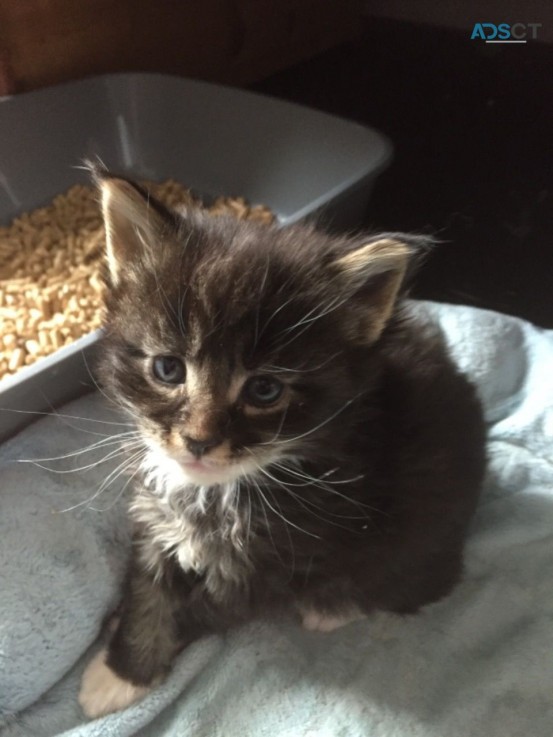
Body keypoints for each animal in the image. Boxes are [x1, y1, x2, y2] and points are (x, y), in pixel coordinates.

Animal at [76, 170, 484, 716]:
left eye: (264, 390)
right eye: (167, 369)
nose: (199, 441)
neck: (216, 493)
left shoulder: (270, 567)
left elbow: (200, 611)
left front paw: (122, 675)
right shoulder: (154, 518)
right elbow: (151, 588)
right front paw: (123, 641)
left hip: (420, 533)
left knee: (417, 583)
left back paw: (332, 606)